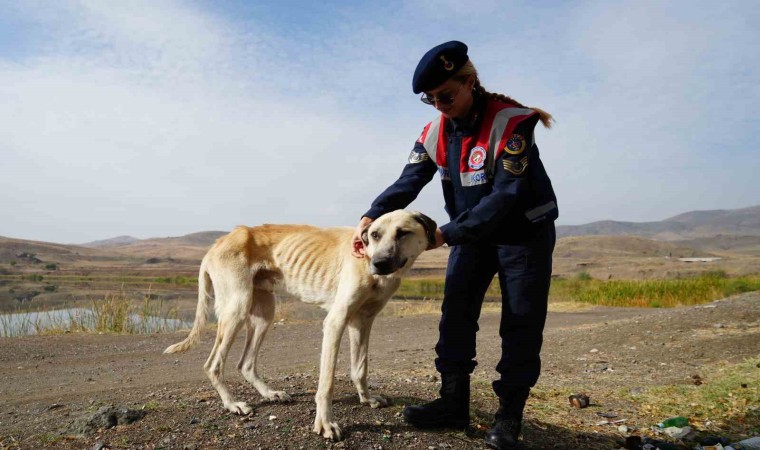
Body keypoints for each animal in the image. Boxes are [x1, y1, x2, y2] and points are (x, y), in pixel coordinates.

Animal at [163, 210, 436, 440]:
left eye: (403, 233)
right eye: (375, 234)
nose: (378, 263)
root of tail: (218, 243)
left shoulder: (362, 322)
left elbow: (360, 369)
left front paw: (367, 399)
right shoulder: (335, 322)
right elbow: (326, 384)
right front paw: (325, 424)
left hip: (264, 314)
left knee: (246, 364)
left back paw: (270, 394)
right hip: (236, 310)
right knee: (213, 365)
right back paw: (232, 404)